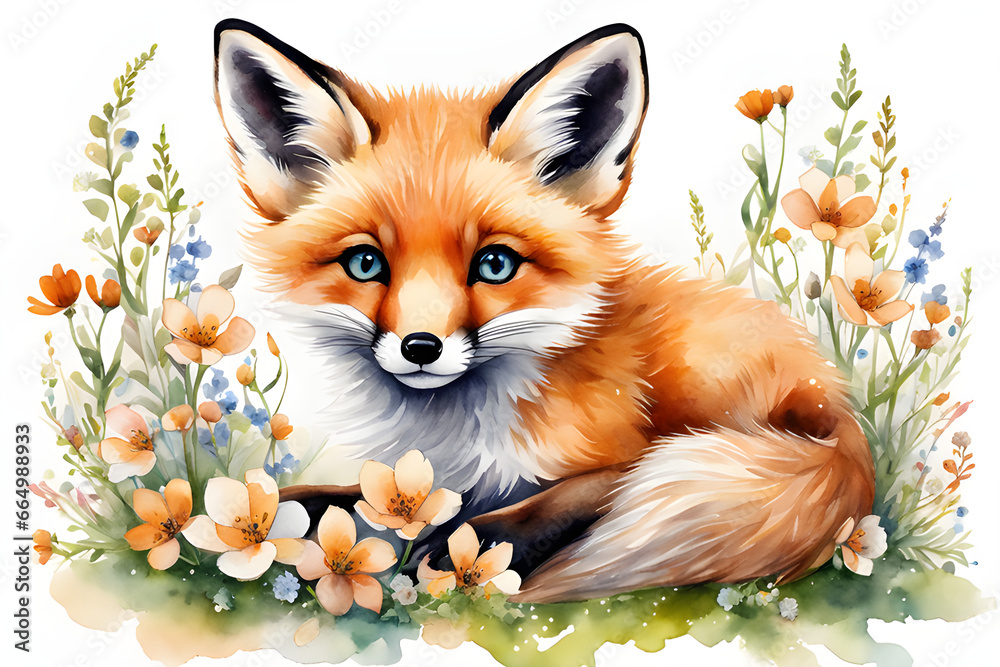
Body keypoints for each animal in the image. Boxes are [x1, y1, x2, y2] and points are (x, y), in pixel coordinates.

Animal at [213, 19, 875, 603]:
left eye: (495, 264)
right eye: (365, 263)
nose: (421, 348)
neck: (467, 431)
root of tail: (837, 406)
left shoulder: (620, 448)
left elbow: (580, 490)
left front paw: (477, 542)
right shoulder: (429, 481)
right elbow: (336, 499)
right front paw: (270, 513)